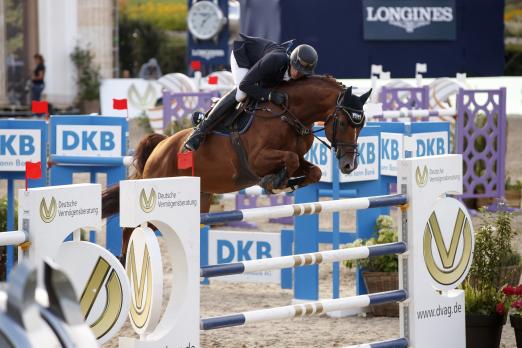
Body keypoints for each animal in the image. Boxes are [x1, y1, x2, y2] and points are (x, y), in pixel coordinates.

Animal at [101, 75, 370, 256]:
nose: (349, 164)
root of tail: (160, 147)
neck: (288, 112)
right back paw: (124, 260)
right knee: (131, 228)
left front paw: (287, 181)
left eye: (362, 125)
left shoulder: (297, 157)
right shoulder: (257, 158)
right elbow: (289, 161)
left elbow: (312, 170)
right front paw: (273, 181)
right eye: (344, 122)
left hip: (197, 201)